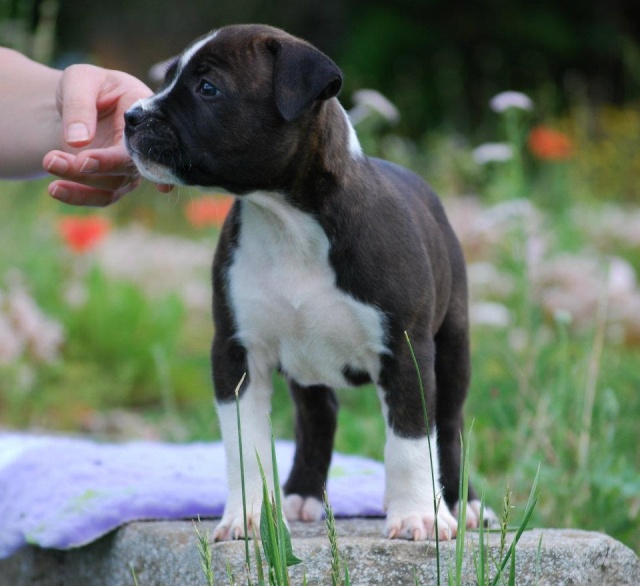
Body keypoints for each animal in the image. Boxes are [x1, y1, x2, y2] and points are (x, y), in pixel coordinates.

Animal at [124, 25, 484, 540]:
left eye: (207, 88)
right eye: (168, 77)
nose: (131, 116)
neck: (286, 218)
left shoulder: (406, 350)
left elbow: (411, 439)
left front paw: (418, 515)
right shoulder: (237, 351)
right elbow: (244, 445)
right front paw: (247, 516)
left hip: (453, 344)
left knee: (448, 423)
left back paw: (462, 504)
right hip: (308, 363)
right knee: (318, 417)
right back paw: (301, 496)